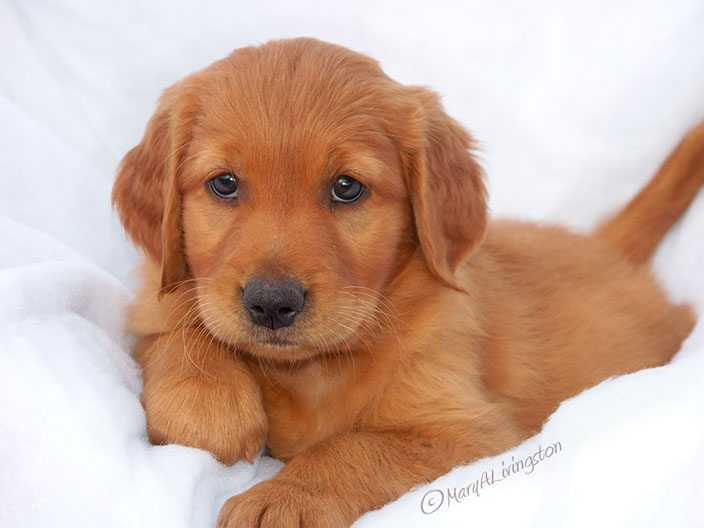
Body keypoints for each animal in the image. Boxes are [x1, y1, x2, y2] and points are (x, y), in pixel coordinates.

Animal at [113, 38, 700, 528]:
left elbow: (353, 449)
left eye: (347, 187)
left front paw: (281, 498)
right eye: (225, 184)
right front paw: (206, 401)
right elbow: (173, 322)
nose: (272, 304)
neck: (313, 372)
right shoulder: (161, 295)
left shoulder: (469, 432)